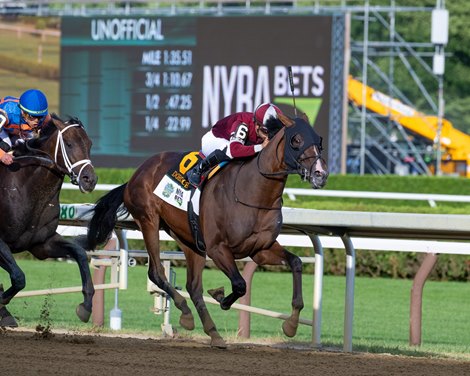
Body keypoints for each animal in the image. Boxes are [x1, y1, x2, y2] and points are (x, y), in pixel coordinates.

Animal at [0, 114, 98, 326]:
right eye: (69, 143)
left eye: (89, 144)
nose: (90, 179)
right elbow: (19, 277)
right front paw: (2, 304)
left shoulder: (41, 244)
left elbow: (79, 253)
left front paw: (86, 306)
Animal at [86, 113, 326, 348]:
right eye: (296, 140)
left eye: (319, 140)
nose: (320, 174)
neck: (253, 191)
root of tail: (135, 175)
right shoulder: (218, 248)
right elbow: (240, 284)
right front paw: (221, 297)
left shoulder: (261, 249)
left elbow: (295, 263)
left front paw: (291, 325)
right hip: (149, 221)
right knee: (157, 272)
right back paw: (187, 313)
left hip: (189, 239)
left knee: (193, 286)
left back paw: (211, 332)